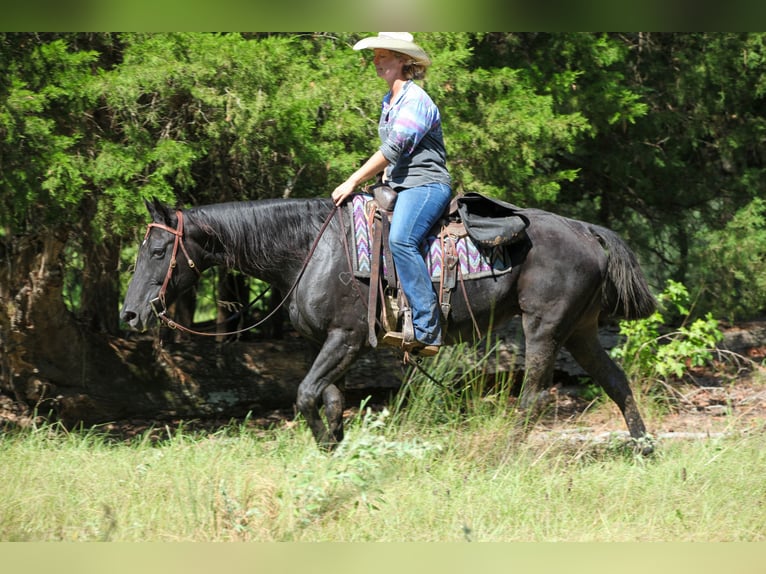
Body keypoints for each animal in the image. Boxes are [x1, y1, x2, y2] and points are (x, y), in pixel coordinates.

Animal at [121, 196, 657, 453]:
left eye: (158, 250)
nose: (130, 313)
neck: (310, 249)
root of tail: (583, 230)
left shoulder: (347, 339)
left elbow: (306, 395)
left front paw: (326, 448)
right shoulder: (330, 345)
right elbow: (329, 399)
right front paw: (334, 448)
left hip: (544, 328)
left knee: (533, 398)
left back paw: (502, 452)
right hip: (580, 331)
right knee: (616, 382)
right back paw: (645, 449)